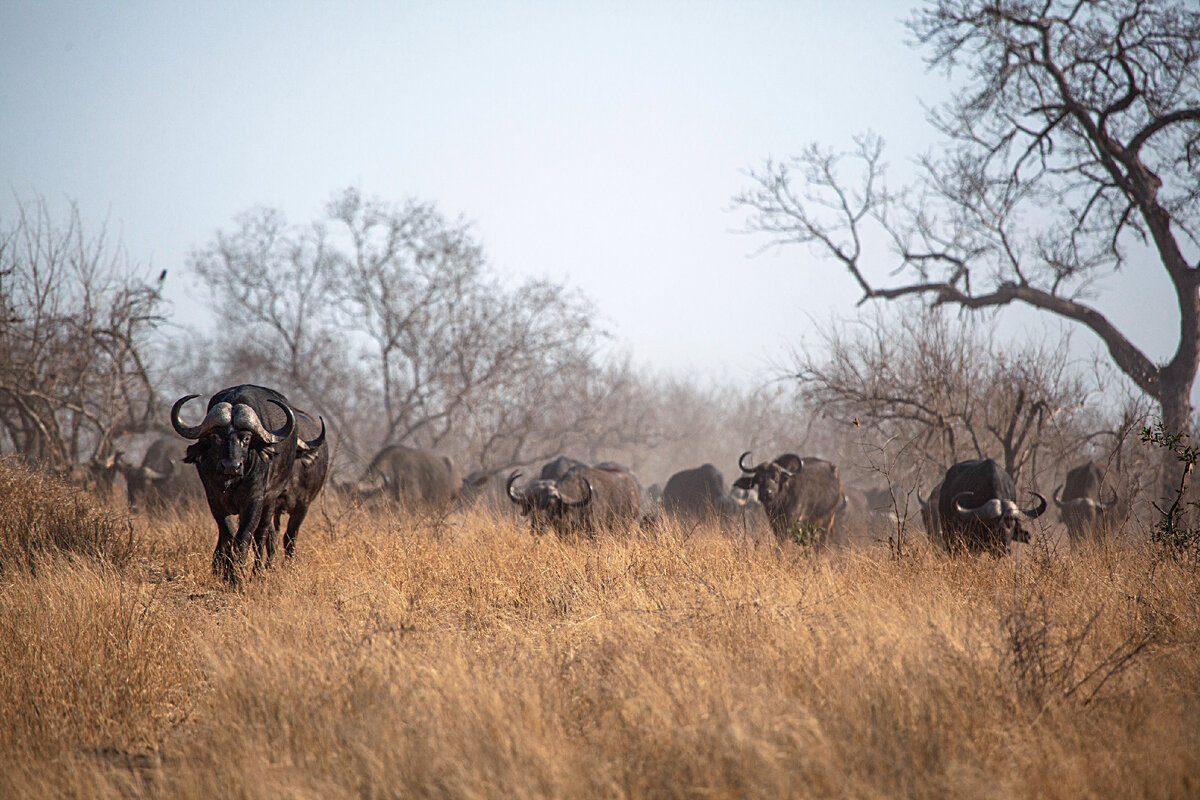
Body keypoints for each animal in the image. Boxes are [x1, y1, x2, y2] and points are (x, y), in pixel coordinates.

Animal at [172, 383, 324, 582]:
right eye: (215, 437)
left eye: (246, 438)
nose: (231, 466)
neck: (233, 481)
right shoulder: (214, 499)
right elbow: (228, 534)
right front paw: (226, 572)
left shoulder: (257, 500)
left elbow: (245, 536)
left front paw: (237, 577)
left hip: (271, 502)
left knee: (263, 535)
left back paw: (258, 572)